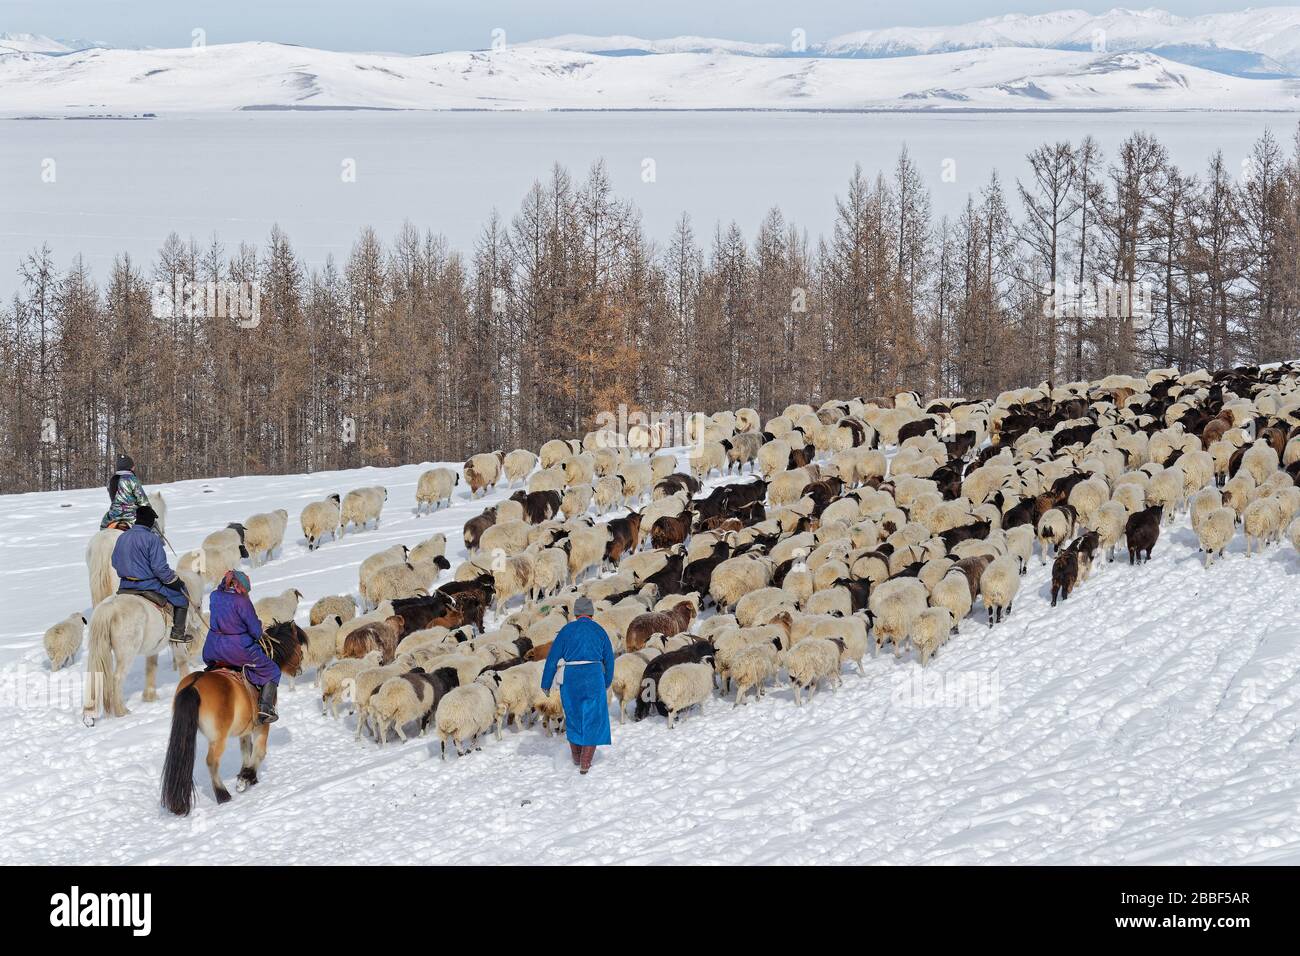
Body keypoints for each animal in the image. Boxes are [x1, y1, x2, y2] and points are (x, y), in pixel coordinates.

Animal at [82, 564, 198, 728]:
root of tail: (110, 608)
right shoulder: (177, 643)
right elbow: (182, 661)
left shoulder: (153, 647)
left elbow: (151, 667)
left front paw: (150, 696)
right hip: (127, 654)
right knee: (117, 678)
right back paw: (121, 711)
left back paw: (89, 716)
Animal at [159, 624, 304, 816]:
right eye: (299, 648)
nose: (298, 669)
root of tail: (193, 685)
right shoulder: (262, 725)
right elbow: (259, 751)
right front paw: (246, 778)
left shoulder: (246, 729)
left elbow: (246, 750)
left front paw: (247, 775)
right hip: (218, 738)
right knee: (212, 762)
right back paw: (223, 795)